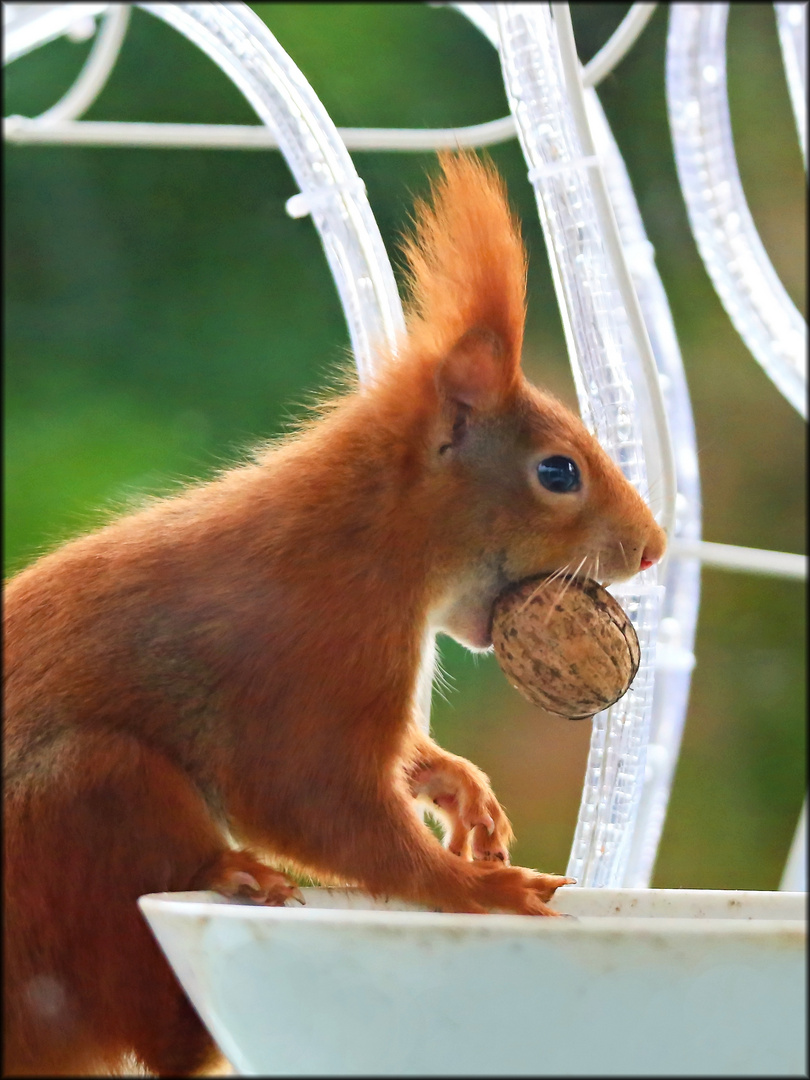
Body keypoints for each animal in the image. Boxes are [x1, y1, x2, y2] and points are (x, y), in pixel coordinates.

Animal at [4, 150, 665, 1071]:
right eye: (559, 472)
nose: (654, 548)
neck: (368, 535)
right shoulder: (316, 647)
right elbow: (309, 799)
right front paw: (475, 886)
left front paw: (463, 792)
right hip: (84, 796)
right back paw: (228, 877)